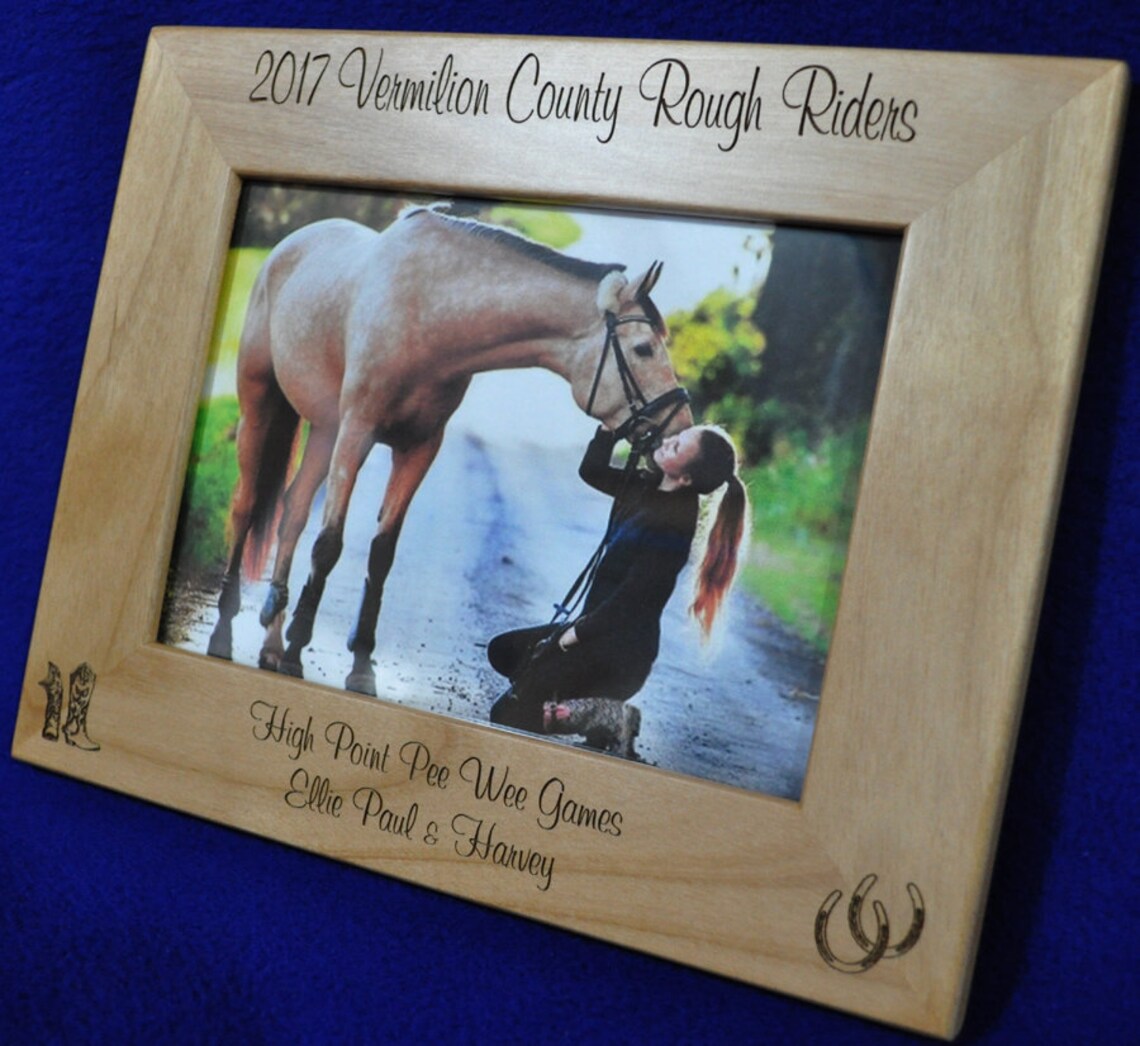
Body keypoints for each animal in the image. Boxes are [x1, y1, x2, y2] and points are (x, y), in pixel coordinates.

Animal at [206, 204, 693, 696]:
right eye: (643, 348)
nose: (681, 427)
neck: (427, 313)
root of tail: (288, 245)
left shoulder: (419, 448)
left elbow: (382, 553)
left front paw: (360, 663)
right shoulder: (357, 433)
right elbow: (328, 545)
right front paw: (296, 650)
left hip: (324, 431)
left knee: (292, 510)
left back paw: (270, 637)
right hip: (262, 404)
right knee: (247, 505)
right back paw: (227, 629)